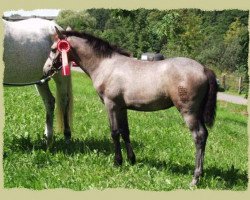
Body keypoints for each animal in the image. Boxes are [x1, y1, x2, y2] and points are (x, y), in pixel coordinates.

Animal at [3, 18, 73, 147]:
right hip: (42, 79)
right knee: (49, 102)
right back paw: (47, 139)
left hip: (61, 76)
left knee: (64, 100)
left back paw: (67, 137)